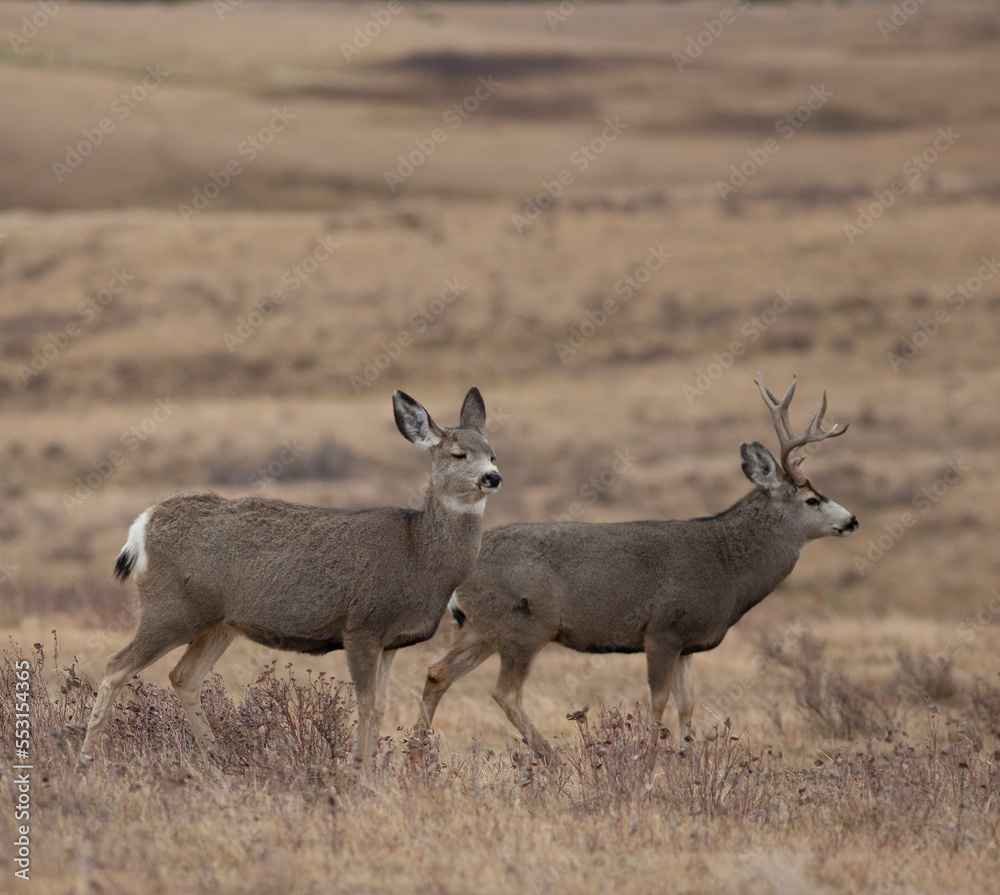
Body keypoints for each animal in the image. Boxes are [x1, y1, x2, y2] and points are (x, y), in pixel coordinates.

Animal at [80, 387, 501, 776]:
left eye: (492, 452)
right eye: (458, 454)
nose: (493, 477)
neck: (420, 556)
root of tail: (142, 526)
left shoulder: (391, 641)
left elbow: (381, 705)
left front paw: (369, 772)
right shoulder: (361, 626)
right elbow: (365, 703)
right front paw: (357, 773)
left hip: (219, 623)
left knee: (184, 676)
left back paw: (220, 761)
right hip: (171, 609)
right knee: (116, 665)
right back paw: (87, 757)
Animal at [418, 374, 857, 759]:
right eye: (812, 500)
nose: (852, 521)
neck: (728, 565)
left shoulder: (688, 641)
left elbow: (687, 703)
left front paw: (684, 758)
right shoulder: (662, 629)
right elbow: (658, 701)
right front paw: (647, 758)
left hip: (481, 627)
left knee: (438, 673)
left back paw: (419, 753)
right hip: (524, 627)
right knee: (504, 692)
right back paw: (550, 757)